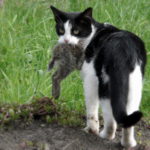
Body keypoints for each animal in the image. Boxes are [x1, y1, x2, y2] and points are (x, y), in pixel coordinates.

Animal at [50, 5, 146, 148]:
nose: (65, 40)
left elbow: (91, 107)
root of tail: (122, 47)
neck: (92, 34)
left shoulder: (90, 78)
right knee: (128, 115)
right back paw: (128, 143)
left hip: (104, 84)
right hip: (135, 84)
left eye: (76, 31)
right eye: (61, 30)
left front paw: (91, 129)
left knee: (109, 117)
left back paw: (104, 134)